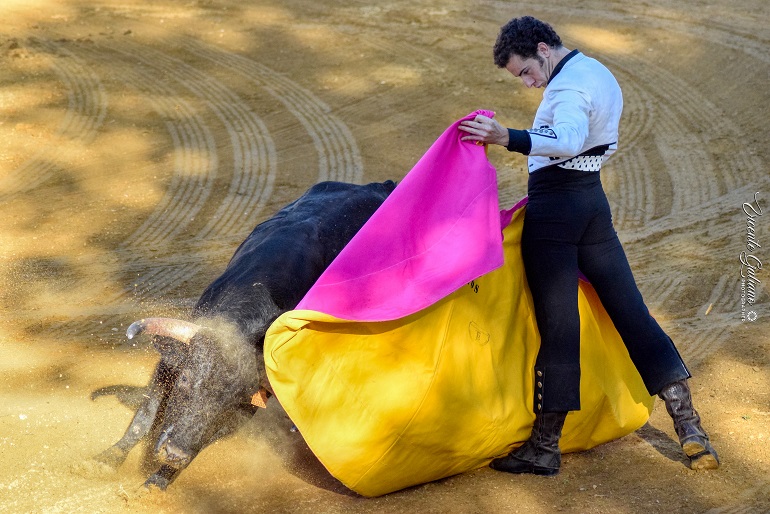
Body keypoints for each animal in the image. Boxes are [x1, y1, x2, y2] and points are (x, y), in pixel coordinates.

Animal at [92, 180, 396, 488]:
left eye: (229, 401)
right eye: (187, 379)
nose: (174, 453)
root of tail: (380, 186)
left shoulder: (246, 408)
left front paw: (157, 482)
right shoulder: (171, 363)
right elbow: (145, 415)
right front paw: (108, 459)